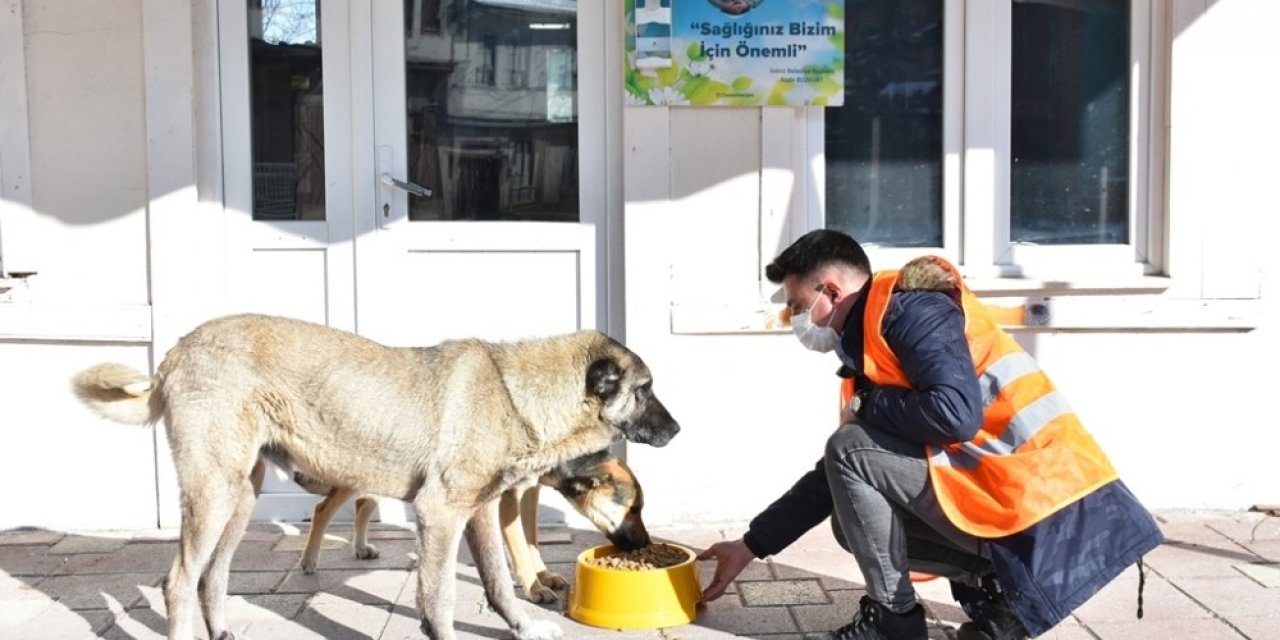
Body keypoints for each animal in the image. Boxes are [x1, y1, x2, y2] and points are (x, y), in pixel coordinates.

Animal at [272, 448, 650, 601]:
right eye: (633, 509)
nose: (646, 545)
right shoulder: (509, 498)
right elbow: (519, 547)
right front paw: (532, 586)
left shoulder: (528, 492)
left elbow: (531, 539)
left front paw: (542, 574)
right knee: (323, 508)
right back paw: (309, 560)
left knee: (364, 503)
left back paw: (362, 548)